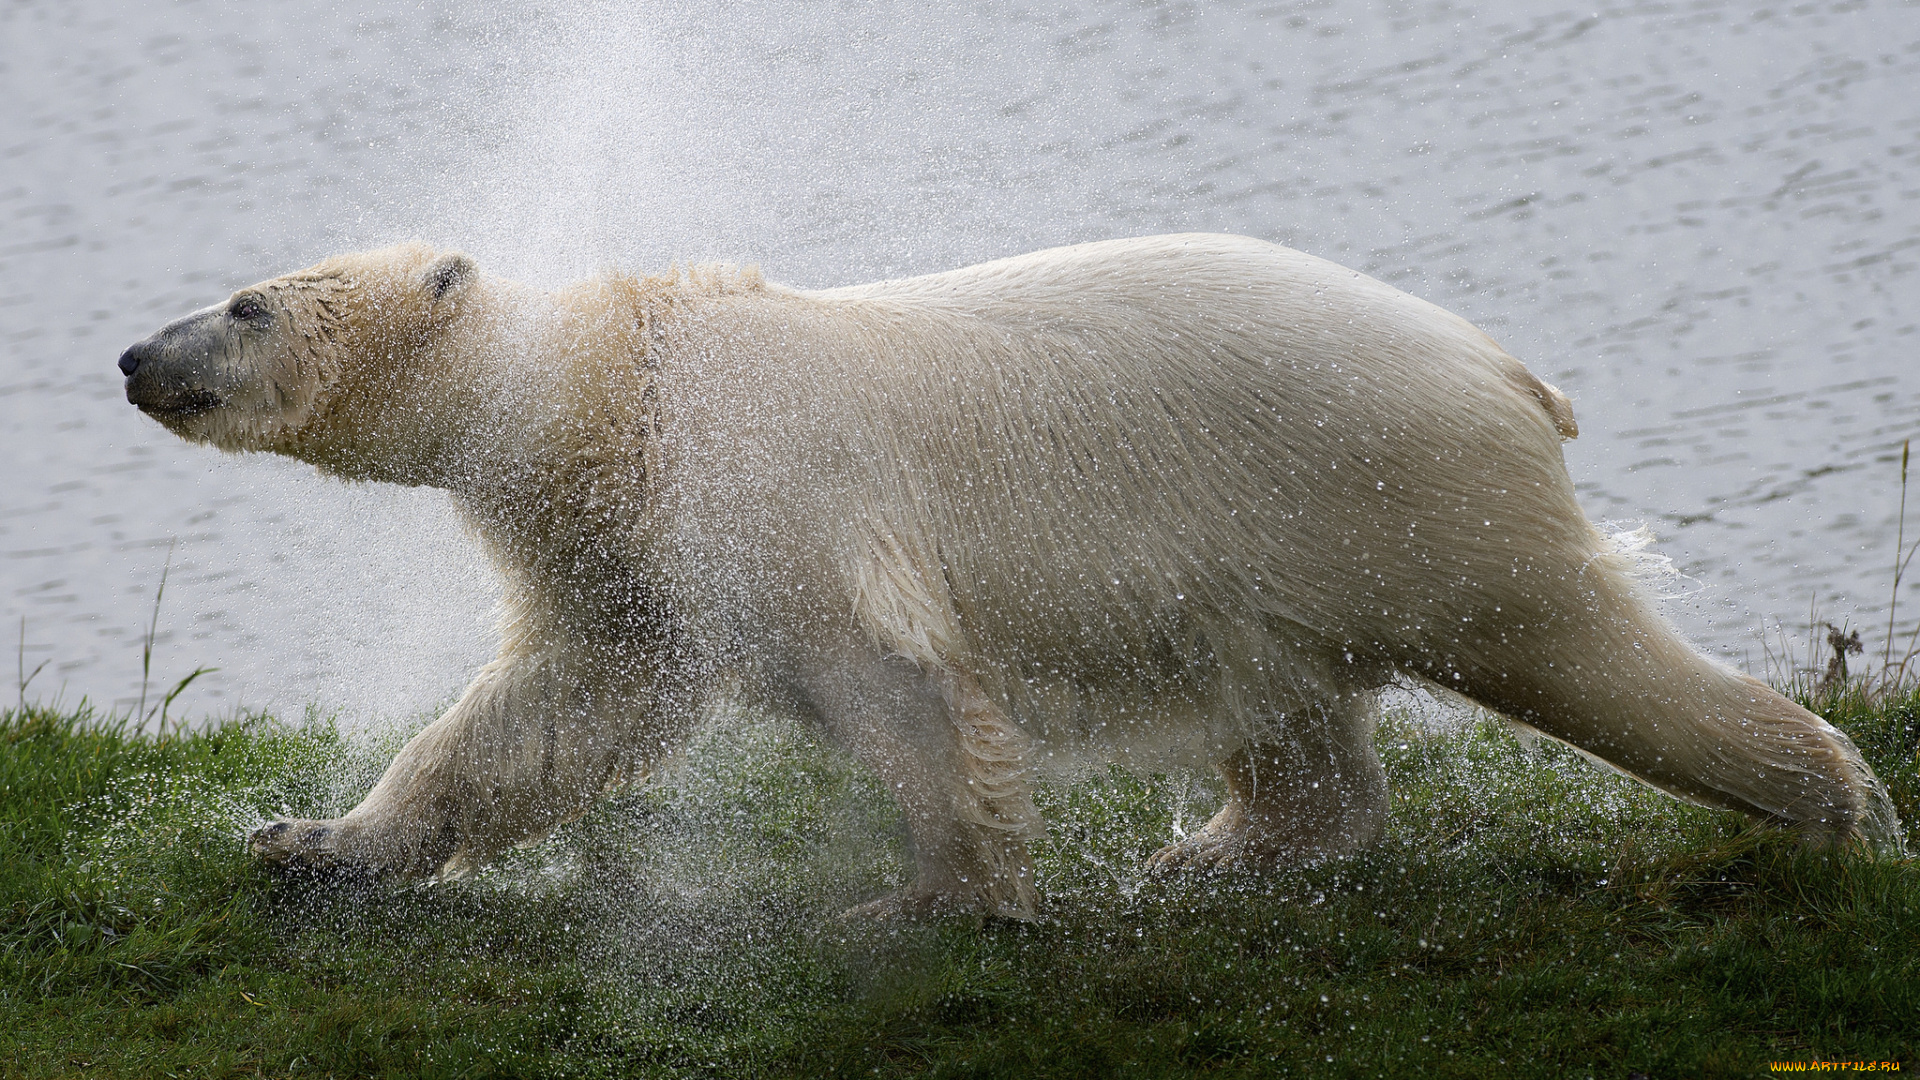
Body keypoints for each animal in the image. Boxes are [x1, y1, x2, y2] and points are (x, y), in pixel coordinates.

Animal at [120, 231, 1904, 910]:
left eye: (249, 303)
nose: (137, 353)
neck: (616, 393)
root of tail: (1509, 371)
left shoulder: (768, 494)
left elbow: (899, 681)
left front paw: (927, 899)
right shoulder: (625, 550)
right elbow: (553, 713)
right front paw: (311, 841)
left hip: (1394, 494)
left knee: (1579, 650)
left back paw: (1841, 808)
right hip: (1266, 557)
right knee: (1289, 718)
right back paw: (1211, 853)